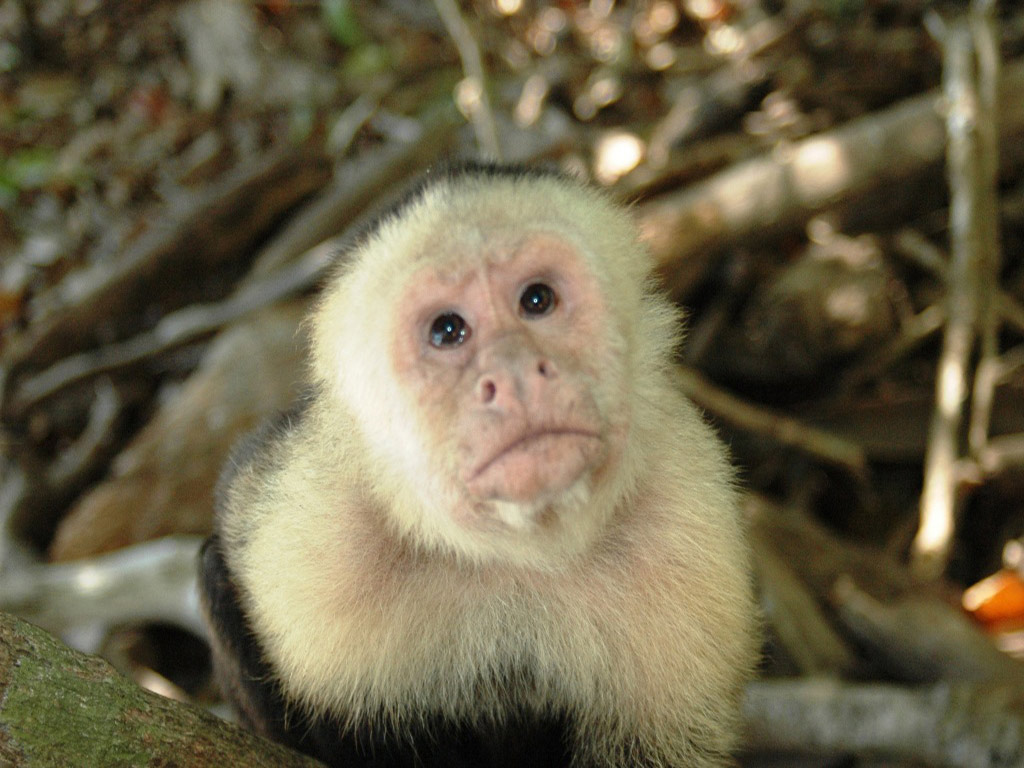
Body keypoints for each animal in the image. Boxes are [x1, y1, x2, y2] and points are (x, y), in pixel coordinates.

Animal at [200, 162, 759, 768]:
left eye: (537, 300)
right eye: (448, 330)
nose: (513, 373)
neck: (515, 555)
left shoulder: (689, 523)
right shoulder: (306, 542)